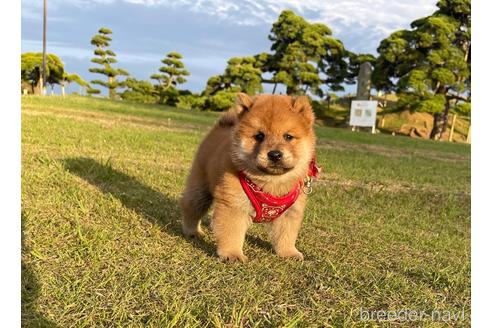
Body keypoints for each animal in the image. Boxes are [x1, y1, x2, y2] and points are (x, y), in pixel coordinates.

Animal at [179, 93, 318, 262]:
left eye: (288, 137)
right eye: (259, 136)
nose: (275, 154)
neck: (271, 184)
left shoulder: (290, 213)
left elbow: (286, 236)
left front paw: (289, 253)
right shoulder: (234, 206)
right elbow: (232, 234)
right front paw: (232, 254)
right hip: (201, 192)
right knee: (190, 208)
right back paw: (192, 231)